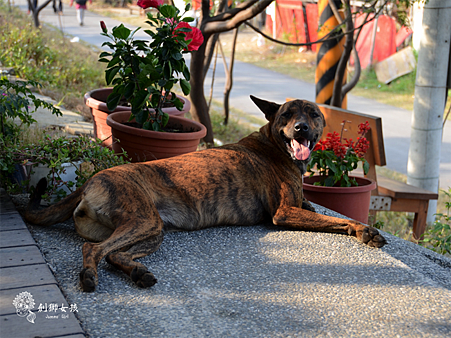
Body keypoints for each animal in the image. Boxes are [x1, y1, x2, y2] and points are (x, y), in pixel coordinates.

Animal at [24, 96, 386, 292]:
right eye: (286, 115)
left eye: (312, 114)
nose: (301, 129)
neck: (274, 145)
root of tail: (87, 184)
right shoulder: (285, 213)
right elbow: (334, 220)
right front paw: (365, 230)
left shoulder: (299, 204)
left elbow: (318, 209)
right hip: (143, 220)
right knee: (93, 249)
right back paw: (89, 275)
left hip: (152, 230)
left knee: (114, 254)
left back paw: (139, 273)